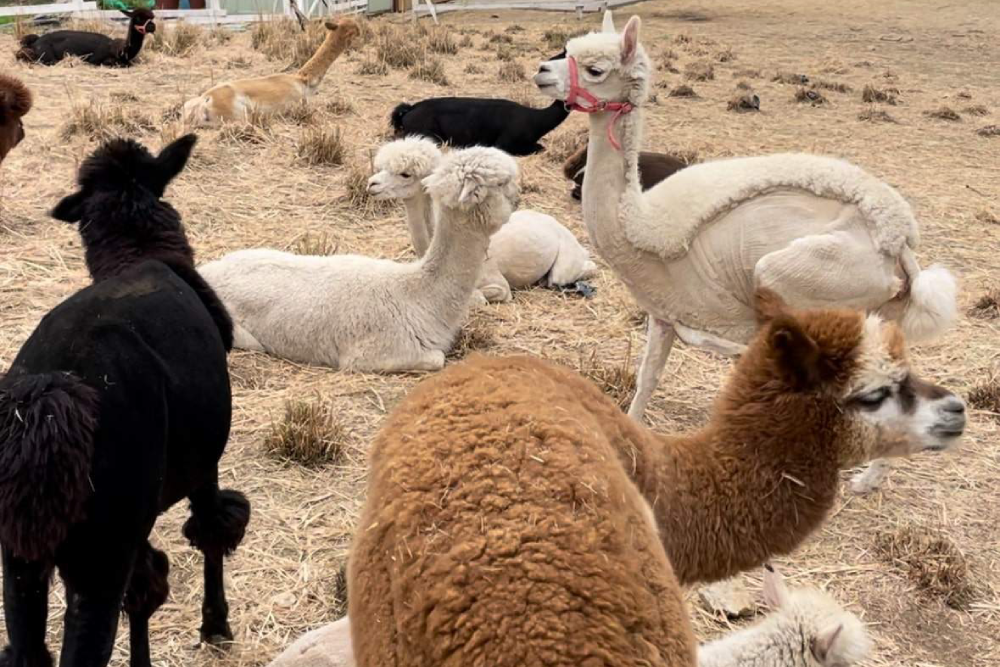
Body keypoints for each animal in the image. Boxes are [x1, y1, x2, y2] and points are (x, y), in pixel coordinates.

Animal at [0, 134, 249, 667]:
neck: (139, 254)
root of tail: (48, 402)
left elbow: (146, 586)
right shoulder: (202, 465)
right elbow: (213, 530)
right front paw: (216, 625)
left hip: (23, 553)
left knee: (28, 646)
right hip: (99, 553)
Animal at [16, 9, 155, 67]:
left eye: (152, 17)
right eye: (138, 18)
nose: (152, 26)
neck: (120, 50)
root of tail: (37, 41)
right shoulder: (96, 59)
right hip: (46, 55)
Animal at [199, 146, 519, 372]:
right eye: (503, 183)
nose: (518, 199)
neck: (418, 295)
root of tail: (207, 271)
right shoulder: (372, 353)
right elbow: (437, 359)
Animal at [367, 137, 597, 303]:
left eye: (405, 174)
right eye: (381, 169)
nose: (372, 184)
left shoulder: (499, 284)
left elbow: (481, 298)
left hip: (566, 258)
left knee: (574, 271)